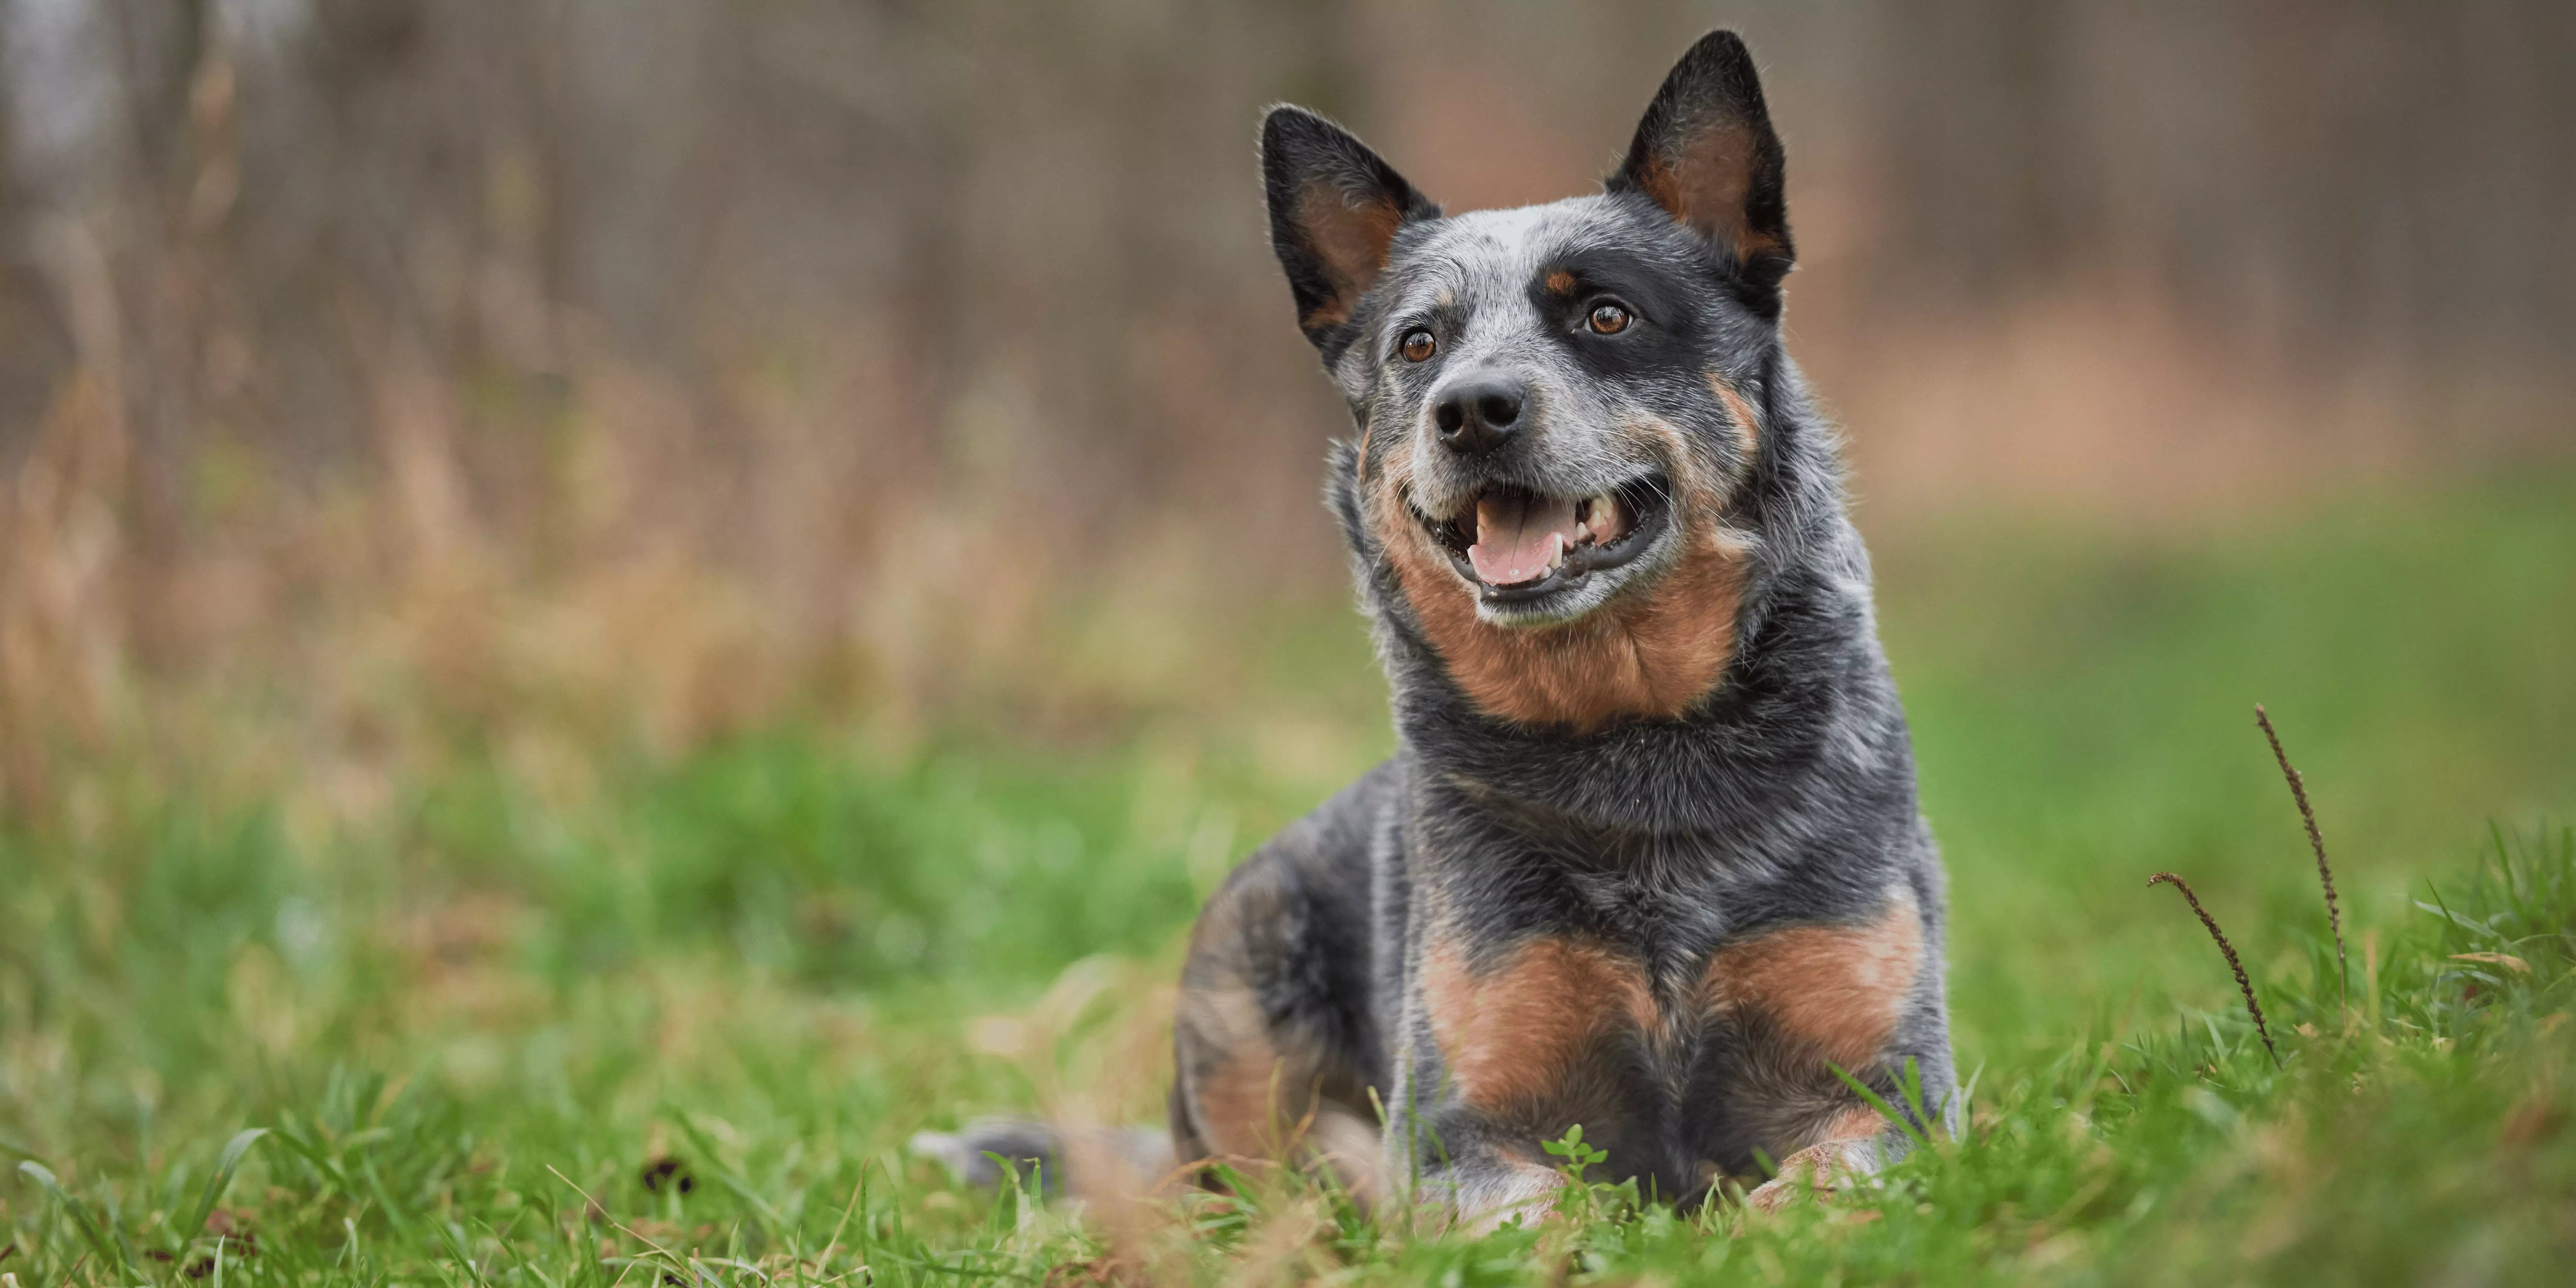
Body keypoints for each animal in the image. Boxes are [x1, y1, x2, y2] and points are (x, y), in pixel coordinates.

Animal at [922, 25, 1947, 1221]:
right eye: (1418, 344)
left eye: (1606, 314)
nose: (1473, 408)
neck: (1634, 744)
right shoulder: (1466, 1129)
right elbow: (1543, 1210)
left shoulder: (1891, 1091)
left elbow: (1824, 1185)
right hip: (1246, 948)